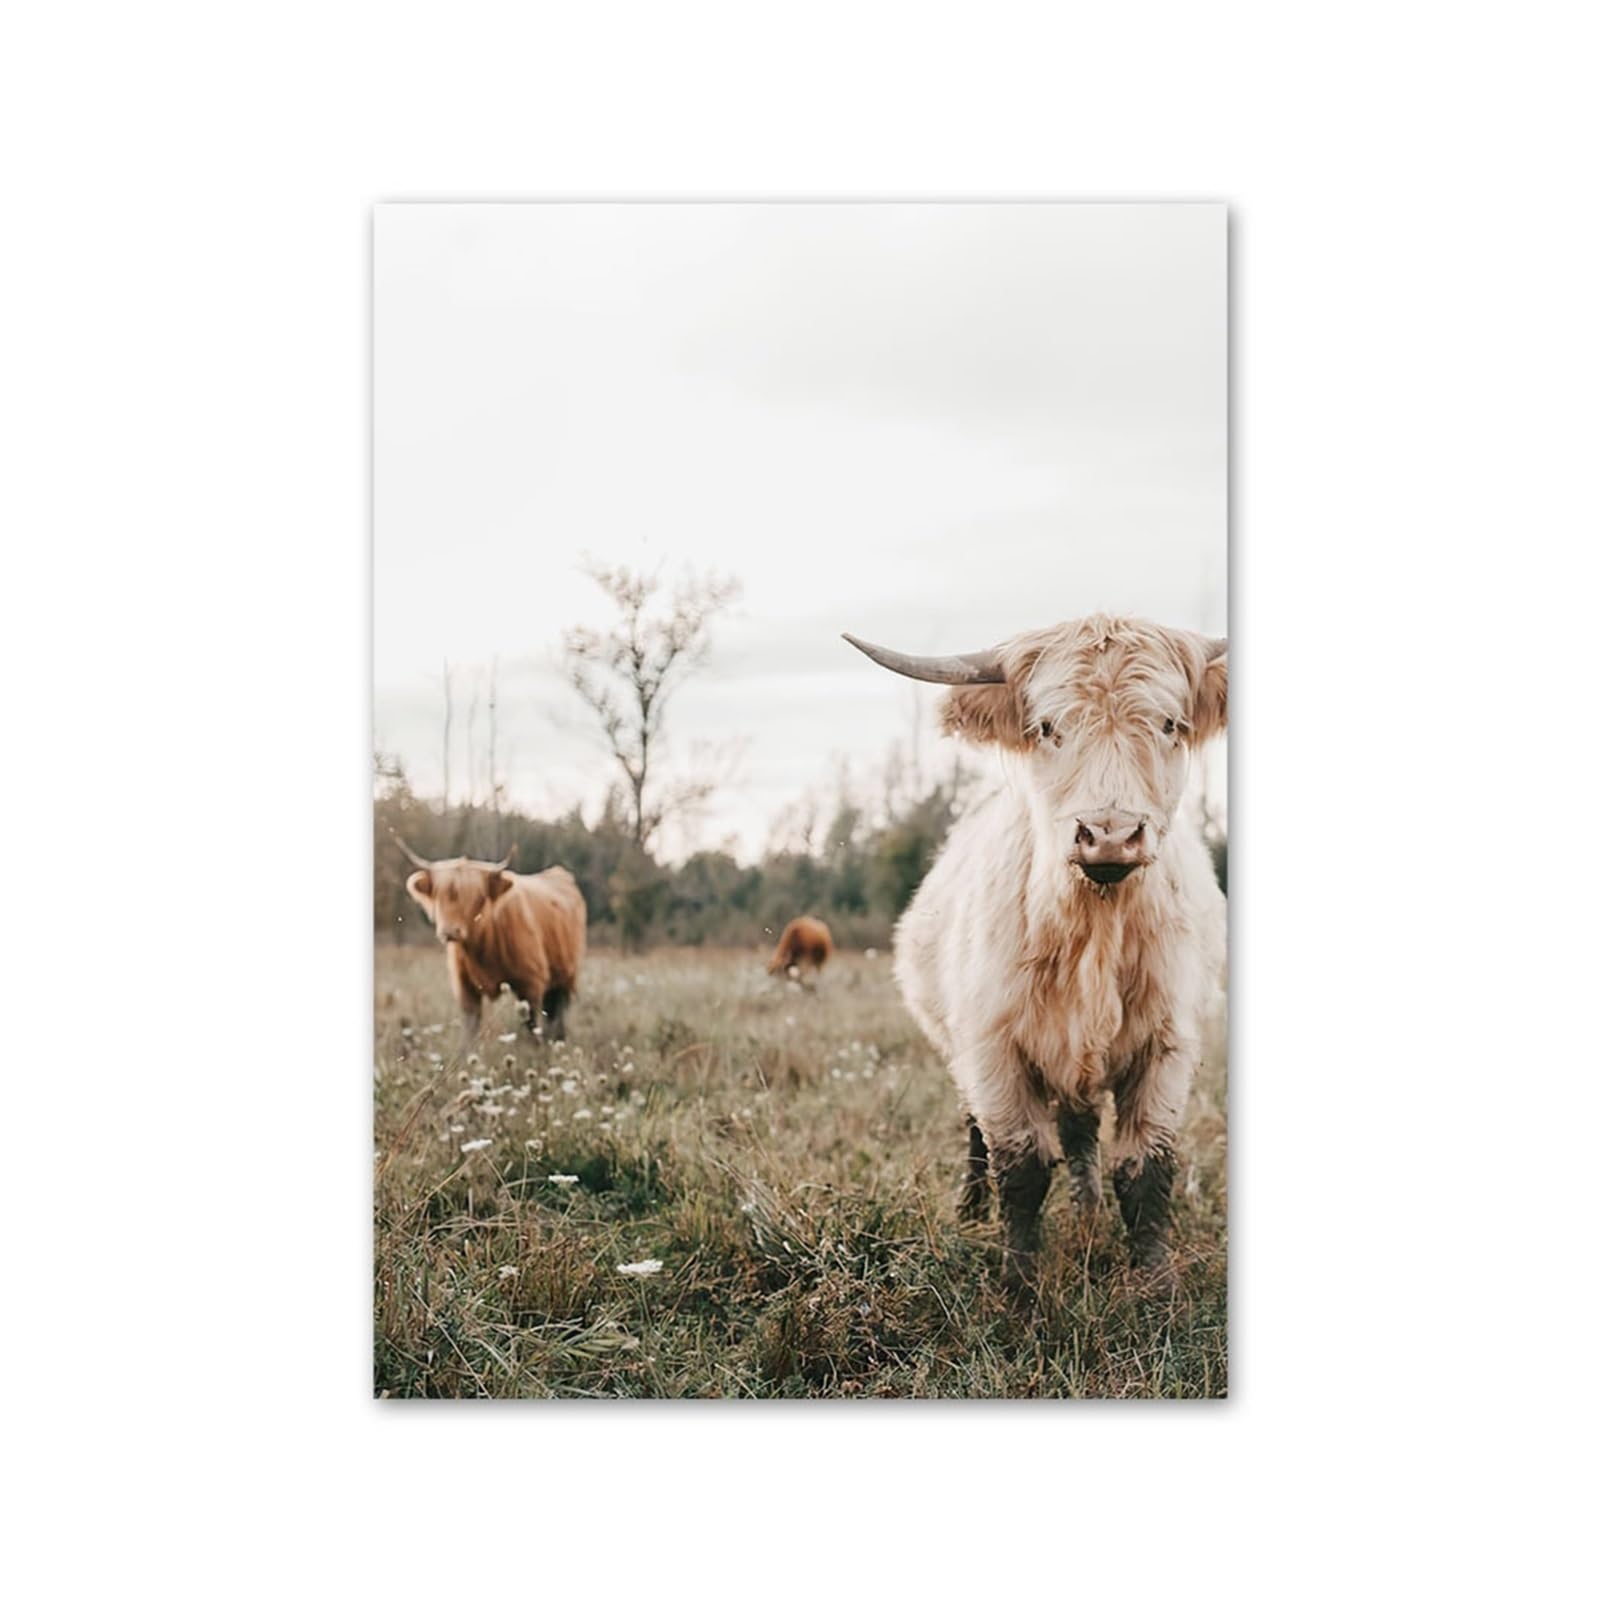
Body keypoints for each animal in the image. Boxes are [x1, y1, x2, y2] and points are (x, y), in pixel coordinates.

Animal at [394, 836, 587, 1050]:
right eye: (439, 894)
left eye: (478, 897)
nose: (450, 931)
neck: (482, 947)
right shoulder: (464, 986)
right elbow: (470, 1027)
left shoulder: (532, 982)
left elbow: (531, 1024)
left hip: (568, 975)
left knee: (557, 1014)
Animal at [844, 614, 1226, 1287]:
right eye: (1048, 727)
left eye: (1168, 724)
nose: (1110, 835)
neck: (1094, 925)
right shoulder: (992, 1047)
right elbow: (1019, 1168)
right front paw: (1018, 1284)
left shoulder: (1168, 1044)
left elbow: (1146, 1169)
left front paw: (1156, 1283)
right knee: (976, 1129)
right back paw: (972, 1207)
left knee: (1080, 1129)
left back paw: (1087, 1205)